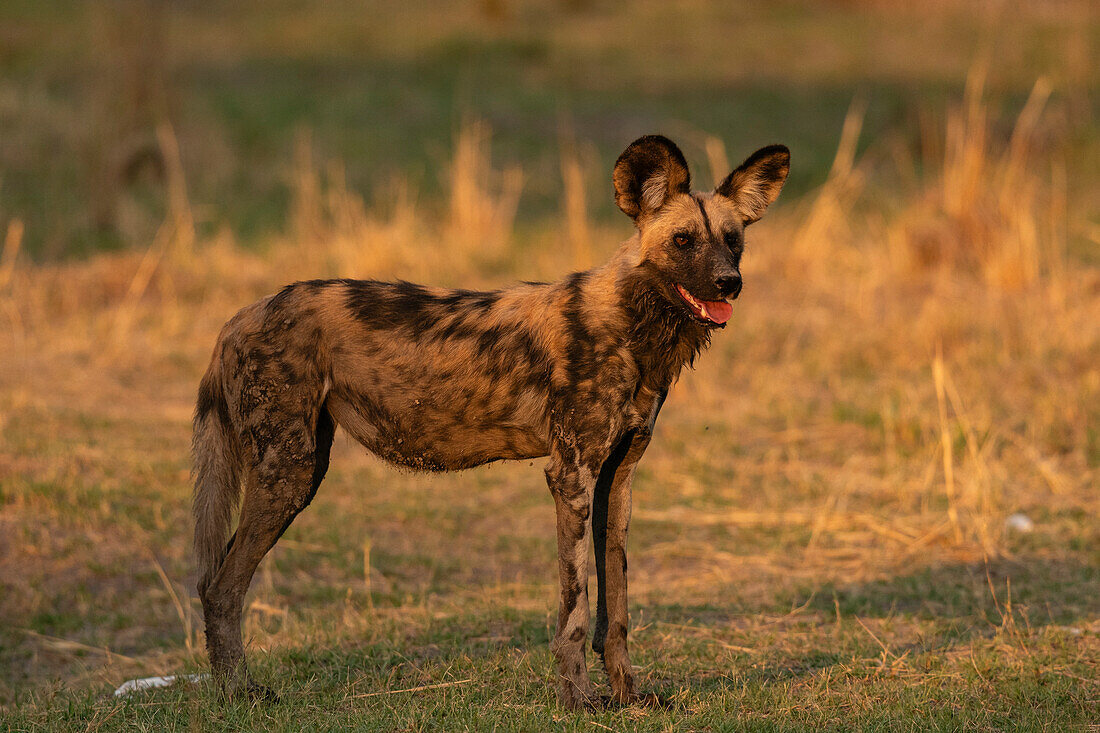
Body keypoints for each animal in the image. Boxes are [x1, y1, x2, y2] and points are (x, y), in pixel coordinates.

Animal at [193, 134, 787, 704]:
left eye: (733, 240)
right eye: (683, 241)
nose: (729, 282)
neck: (634, 326)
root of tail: (241, 315)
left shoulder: (617, 481)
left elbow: (614, 609)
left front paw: (629, 696)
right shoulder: (570, 476)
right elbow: (575, 611)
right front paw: (578, 699)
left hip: (301, 468)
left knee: (214, 580)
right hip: (288, 475)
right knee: (221, 588)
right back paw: (239, 694)